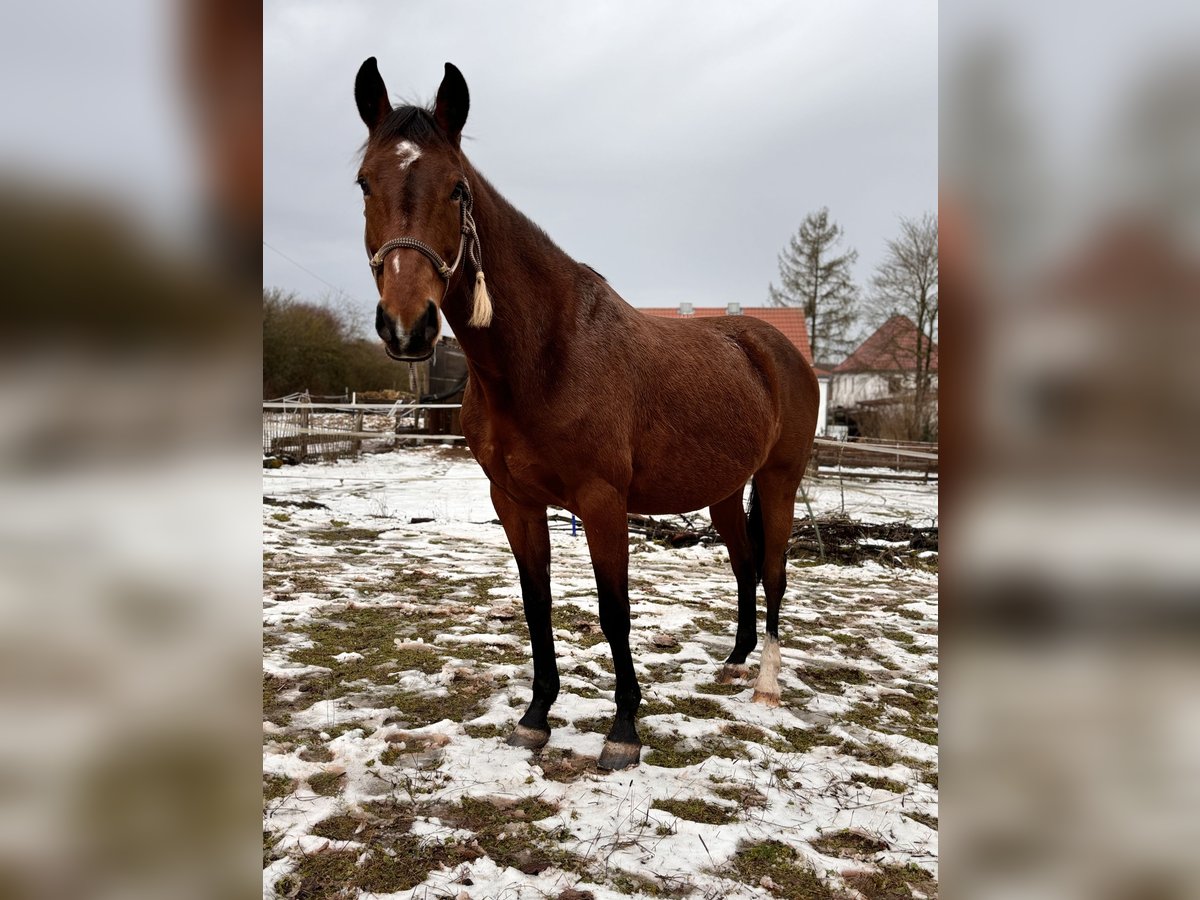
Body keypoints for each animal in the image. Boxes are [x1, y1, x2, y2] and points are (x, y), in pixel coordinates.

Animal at [355, 60, 820, 772]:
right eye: (364, 183)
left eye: (457, 189)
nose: (408, 326)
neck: (550, 352)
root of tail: (775, 349)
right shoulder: (514, 500)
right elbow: (536, 604)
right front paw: (535, 717)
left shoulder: (602, 501)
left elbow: (613, 610)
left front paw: (624, 728)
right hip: (723, 490)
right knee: (744, 566)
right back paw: (735, 661)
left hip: (778, 481)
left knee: (772, 573)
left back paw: (765, 682)